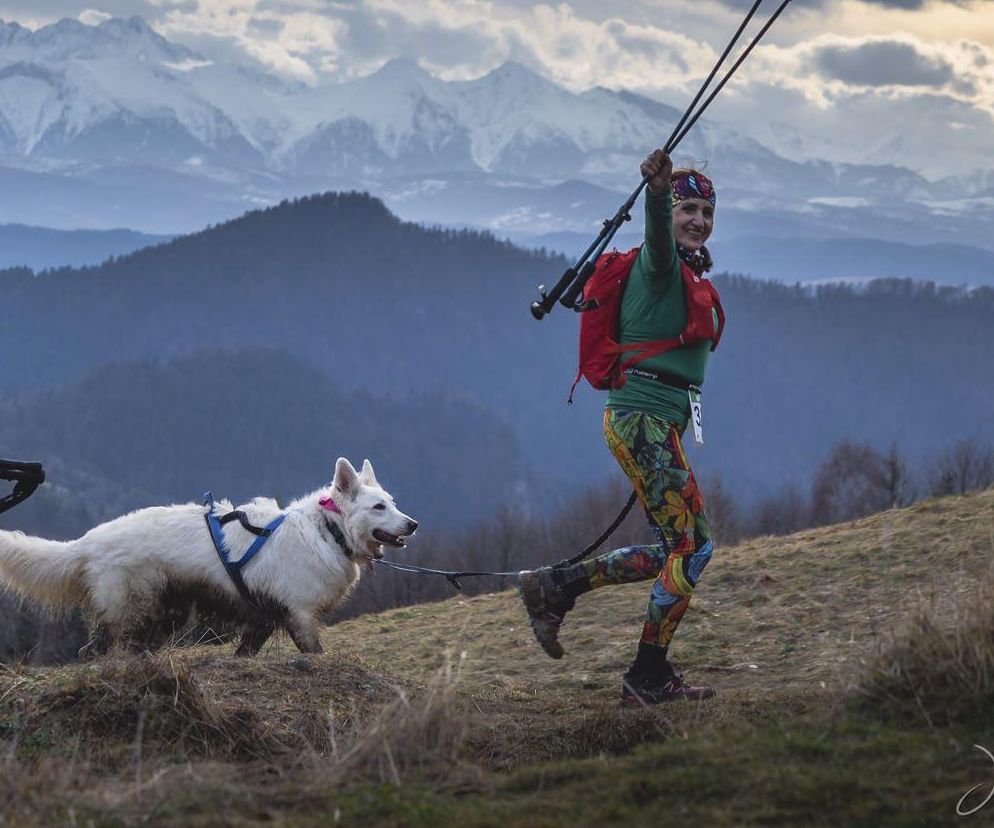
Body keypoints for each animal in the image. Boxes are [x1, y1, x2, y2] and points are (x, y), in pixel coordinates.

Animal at [0, 456, 414, 656]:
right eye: (378, 507)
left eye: (393, 502)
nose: (413, 524)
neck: (326, 528)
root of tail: (89, 541)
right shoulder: (299, 615)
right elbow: (315, 653)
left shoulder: (263, 619)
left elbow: (245, 653)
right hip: (132, 609)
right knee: (95, 650)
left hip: (165, 613)